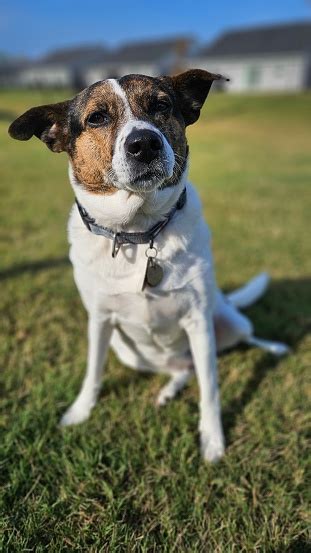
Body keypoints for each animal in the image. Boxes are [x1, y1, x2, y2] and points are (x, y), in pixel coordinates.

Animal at [7, 70, 290, 462]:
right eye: (97, 117)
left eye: (161, 105)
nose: (145, 144)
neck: (137, 233)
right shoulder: (100, 320)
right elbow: (93, 372)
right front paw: (79, 412)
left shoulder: (198, 321)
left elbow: (211, 389)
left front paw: (213, 440)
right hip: (128, 351)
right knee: (183, 370)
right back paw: (170, 388)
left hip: (227, 320)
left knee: (237, 343)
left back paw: (274, 348)